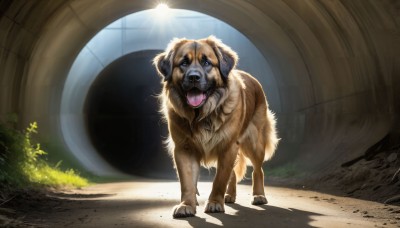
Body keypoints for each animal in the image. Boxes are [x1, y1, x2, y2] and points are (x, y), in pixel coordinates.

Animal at [153, 35, 278, 217]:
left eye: (206, 62)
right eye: (184, 63)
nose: (194, 77)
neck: (202, 115)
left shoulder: (228, 146)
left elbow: (220, 178)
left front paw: (214, 203)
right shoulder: (184, 148)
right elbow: (187, 181)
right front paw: (187, 204)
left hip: (254, 142)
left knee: (258, 170)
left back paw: (259, 195)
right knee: (234, 174)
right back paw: (230, 195)